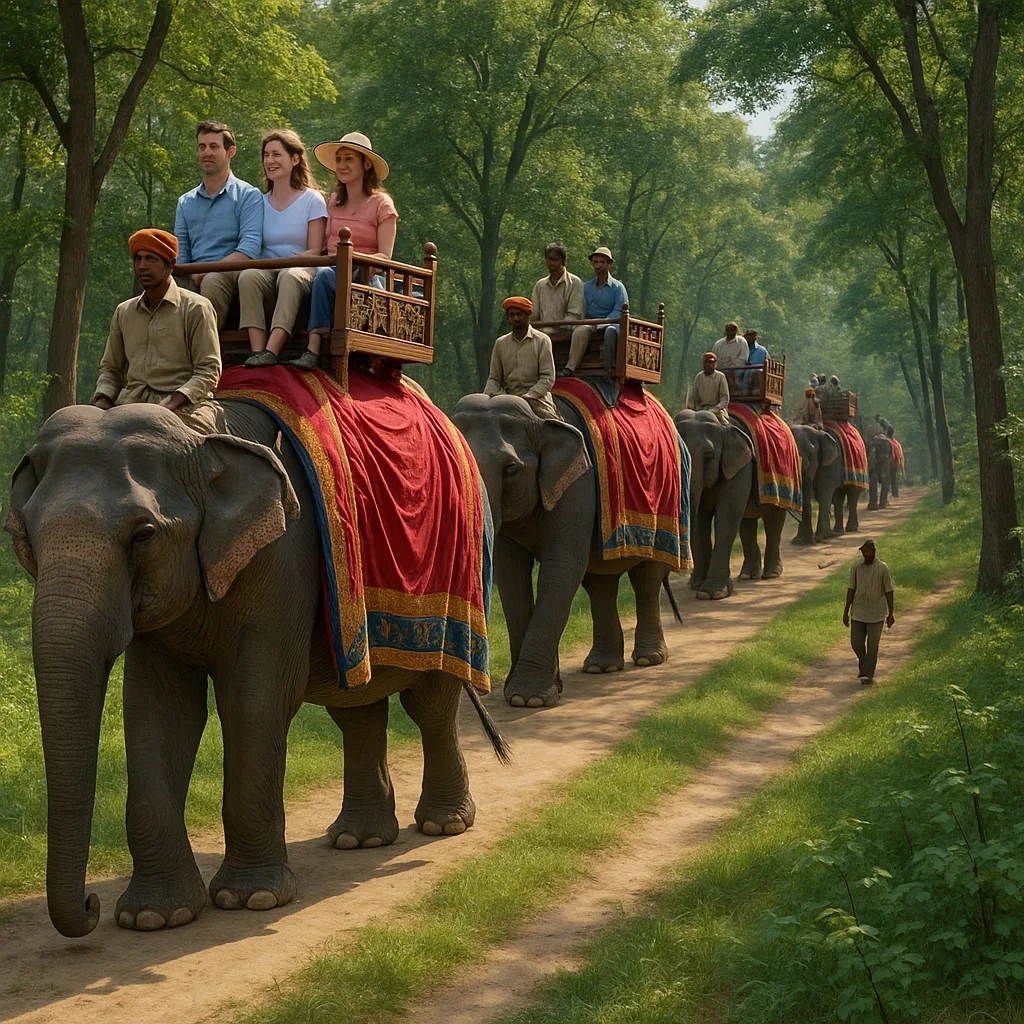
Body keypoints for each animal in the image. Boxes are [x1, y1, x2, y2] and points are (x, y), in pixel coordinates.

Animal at [4, 401, 505, 938]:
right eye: (26, 535)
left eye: (143, 535)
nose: (91, 904)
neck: (199, 440)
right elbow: (156, 713)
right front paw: (154, 916)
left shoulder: (282, 562)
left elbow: (254, 703)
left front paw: (251, 900)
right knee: (355, 708)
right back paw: (359, 839)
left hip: (462, 578)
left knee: (430, 703)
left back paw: (443, 825)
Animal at [451, 393, 677, 708]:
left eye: (511, 469)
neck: (538, 419)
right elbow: (511, 578)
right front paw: (529, 691)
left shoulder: (578, 487)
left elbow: (560, 569)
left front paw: (528, 699)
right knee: (599, 583)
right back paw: (601, 666)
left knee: (646, 576)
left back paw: (648, 659)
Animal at [672, 409, 754, 599]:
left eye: (709, 456)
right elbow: (699, 522)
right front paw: (700, 586)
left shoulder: (740, 469)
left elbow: (727, 517)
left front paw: (713, 592)